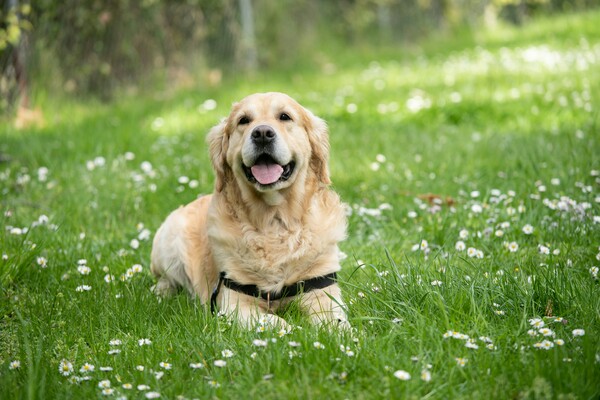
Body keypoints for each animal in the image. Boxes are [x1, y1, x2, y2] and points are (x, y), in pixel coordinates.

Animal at [150, 92, 350, 330]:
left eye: (285, 116)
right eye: (243, 120)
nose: (262, 133)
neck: (274, 221)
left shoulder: (322, 291)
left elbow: (336, 322)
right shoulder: (234, 303)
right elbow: (275, 322)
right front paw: (295, 331)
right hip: (168, 239)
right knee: (166, 279)